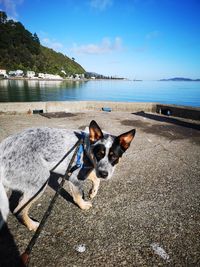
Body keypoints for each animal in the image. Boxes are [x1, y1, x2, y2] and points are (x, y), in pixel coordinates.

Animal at [0, 120, 135, 231]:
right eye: (99, 154)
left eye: (114, 157)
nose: (104, 174)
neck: (86, 146)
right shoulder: (75, 178)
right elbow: (78, 195)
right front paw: (83, 205)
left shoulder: (81, 171)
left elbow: (96, 179)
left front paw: (93, 192)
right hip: (41, 181)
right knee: (19, 209)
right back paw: (32, 225)